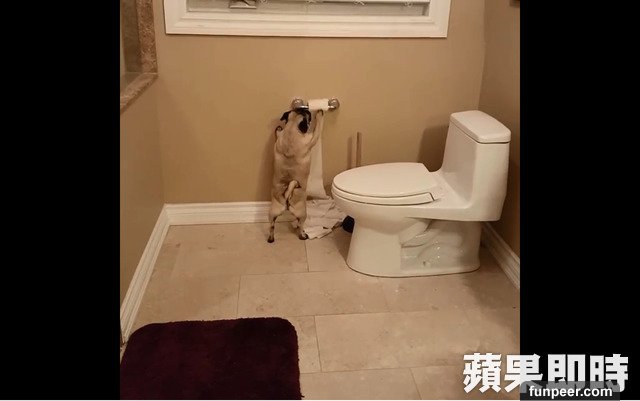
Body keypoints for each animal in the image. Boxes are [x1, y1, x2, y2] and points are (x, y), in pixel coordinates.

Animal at [267, 108, 324, 243]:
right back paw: (302, 235)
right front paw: (319, 115)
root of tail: (286, 197)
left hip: (273, 211)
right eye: (308, 116)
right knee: (300, 224)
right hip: (303, 213)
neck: (291, 129)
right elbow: (318, 127)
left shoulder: (279, 139)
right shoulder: (312, 137)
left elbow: (277, 135)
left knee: (271, 225)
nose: (307, 108)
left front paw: (278, 129)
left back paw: (271, 238)